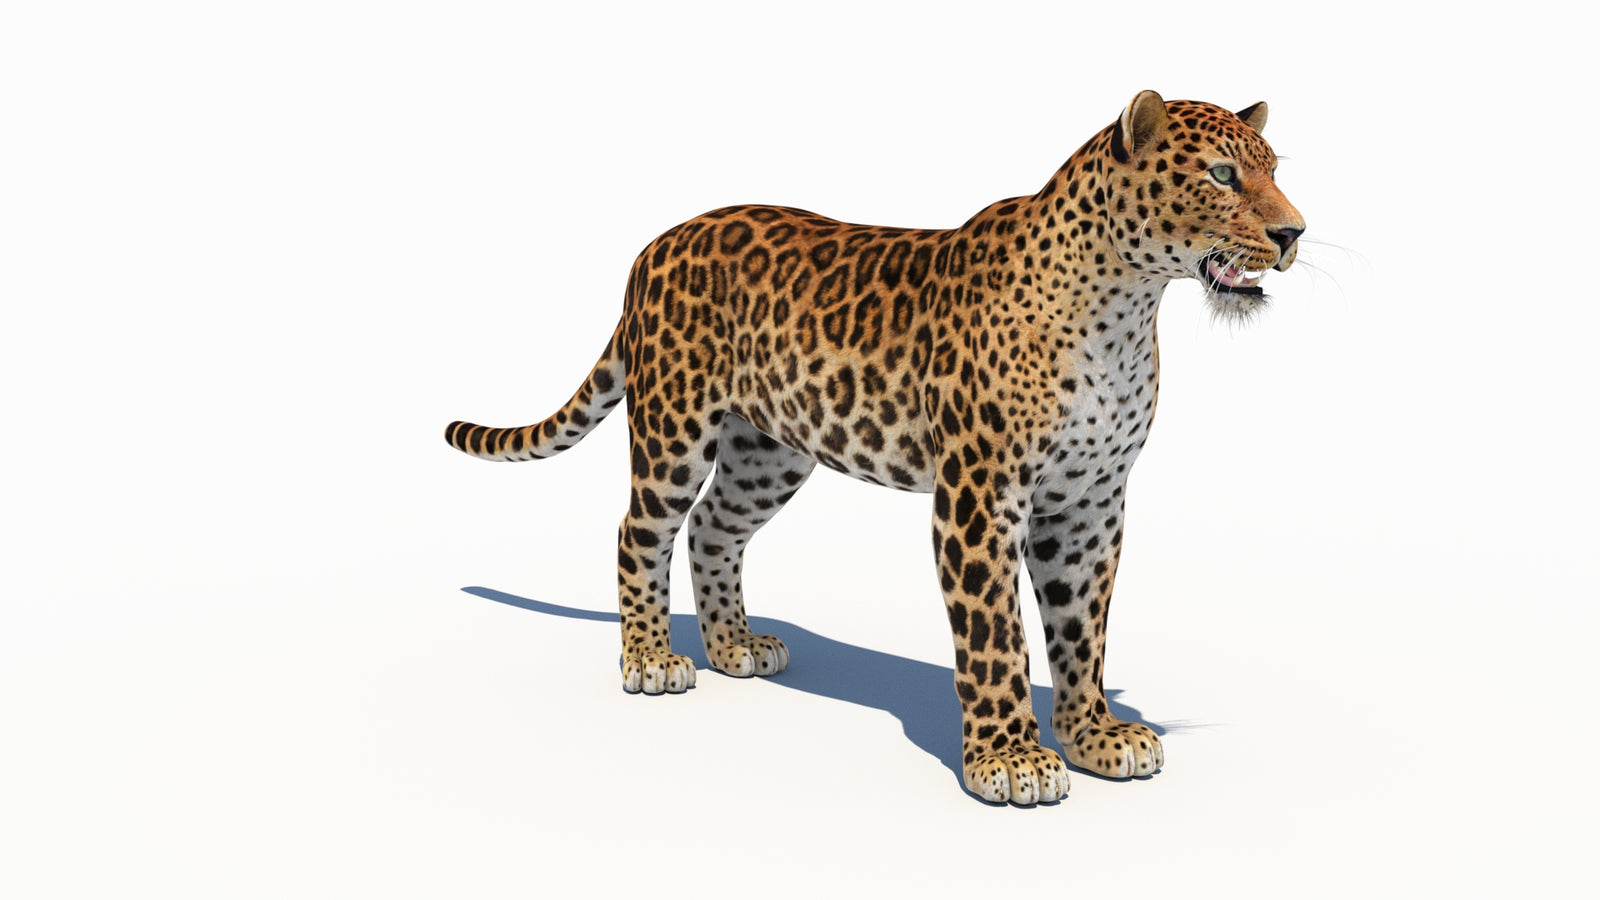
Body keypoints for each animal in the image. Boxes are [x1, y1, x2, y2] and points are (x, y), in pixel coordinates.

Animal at [445, 90, 1305, 805]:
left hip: (770, 450)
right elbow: (996, 636)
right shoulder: (979, 500)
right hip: (674, 427)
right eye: (1223, 175)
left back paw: (734, 644)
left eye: (1273, 172)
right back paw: (651, 661)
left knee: (714, 528)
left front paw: (1095, 735)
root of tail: (654, 246)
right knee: (640, 531)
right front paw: (1009, 761)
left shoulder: (1090, 503)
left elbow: (1082, 626)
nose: (1292, 232)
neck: (1125, 308)